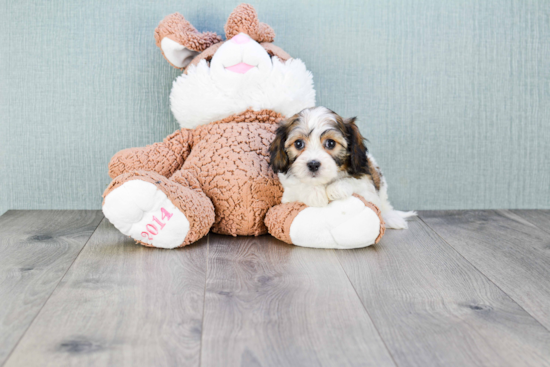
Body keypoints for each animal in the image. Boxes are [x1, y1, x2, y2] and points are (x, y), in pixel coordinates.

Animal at [270, 105, 416, 230]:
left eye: (331, 143)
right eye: (298, 143)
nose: (313, 164)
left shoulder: (367, 187)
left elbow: (355, 182)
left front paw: (336, 188)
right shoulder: (287, 195)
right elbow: (298, 185)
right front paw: (315, 194)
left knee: (385, 205)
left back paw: (392, 218)